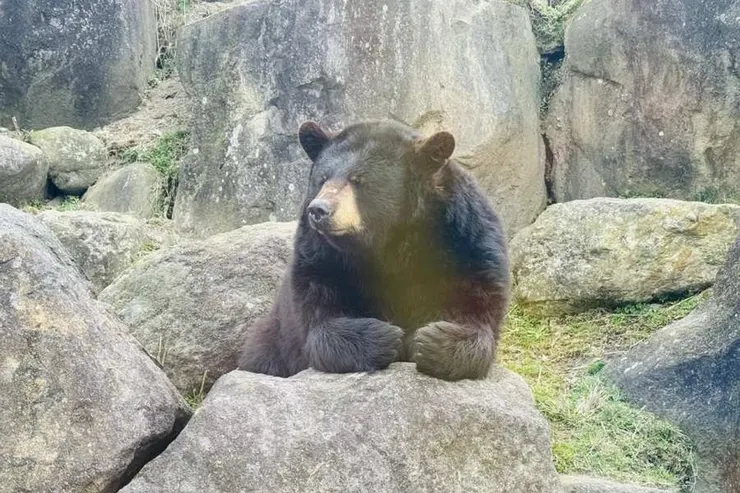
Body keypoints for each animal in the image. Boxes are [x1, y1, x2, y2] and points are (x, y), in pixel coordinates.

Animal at [238, 119, 510, 381]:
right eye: (322, 178)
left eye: (358, 180)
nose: (318, 210)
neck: (389, 241)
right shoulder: (321, 259)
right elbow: (319, 316)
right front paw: (384, 336)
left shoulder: (466, 247)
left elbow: (474, 305)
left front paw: (432, 341)